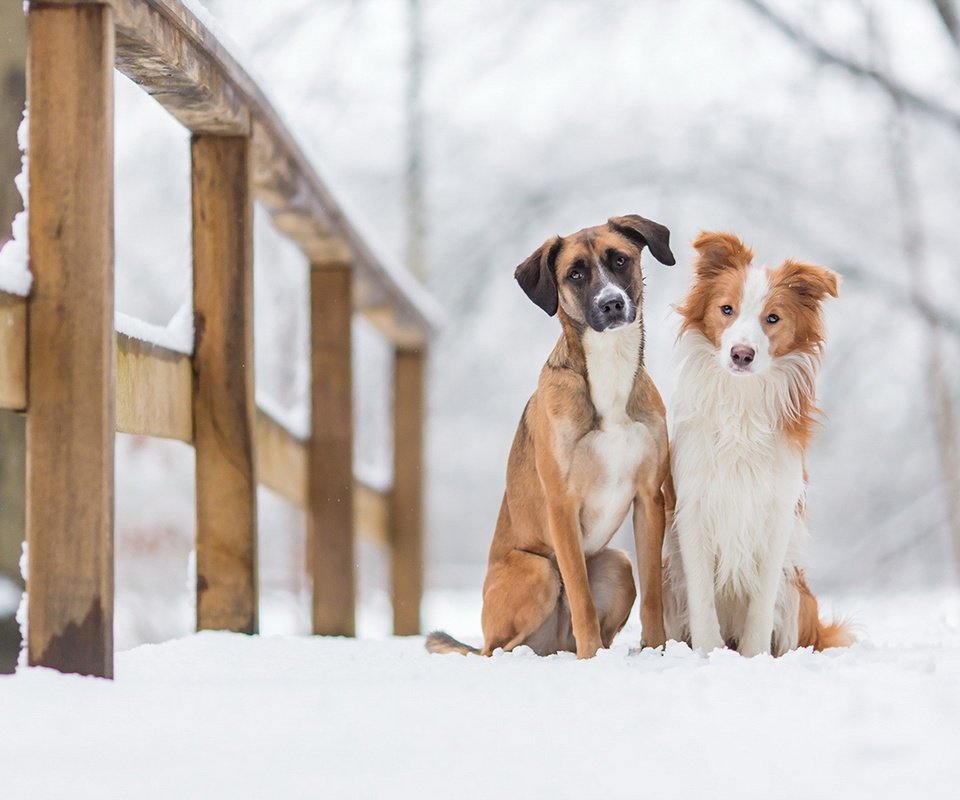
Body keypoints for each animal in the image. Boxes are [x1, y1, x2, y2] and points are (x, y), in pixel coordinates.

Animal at [428, 216, 676, 660]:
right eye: (574, 274)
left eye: (620, 260)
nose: (612, 304)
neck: (608, 370)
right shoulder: (562, 505)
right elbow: (579, 595)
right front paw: (593, 657)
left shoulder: (650, 498)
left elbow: (652, 596)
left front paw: (658, 651)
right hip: (538, 570)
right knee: (498, 649)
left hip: (617, 563)